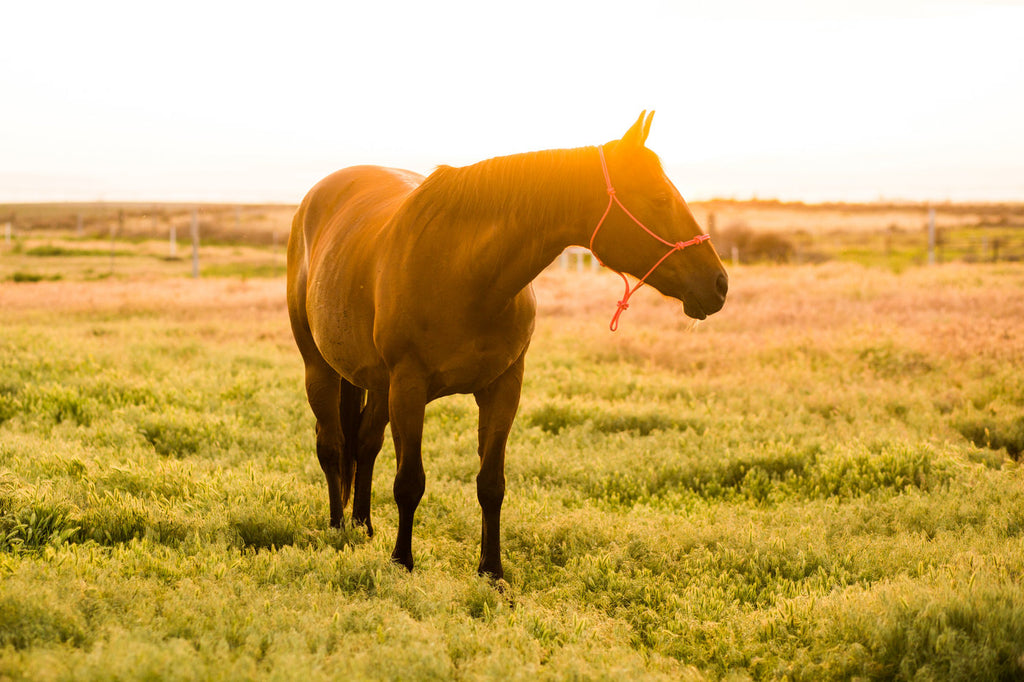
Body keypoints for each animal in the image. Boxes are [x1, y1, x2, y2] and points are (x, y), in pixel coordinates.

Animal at [288, 112, 729, 577]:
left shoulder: (503, 387)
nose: (719, 284)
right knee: (332, 445)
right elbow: (409, 482)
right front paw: (402, 563)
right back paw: (339, 528)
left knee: (365, 444)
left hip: (376, 383)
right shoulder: (408, 387)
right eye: (660, 198)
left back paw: (363, 525)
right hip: (323, 370)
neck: (461, 269)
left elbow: (491, 484)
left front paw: (492, 571)